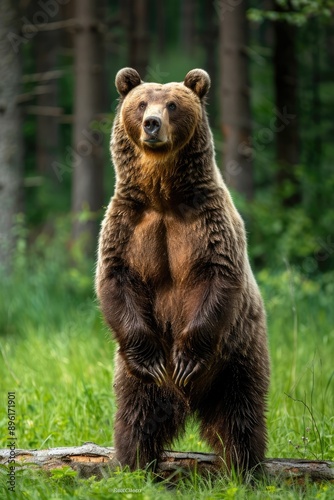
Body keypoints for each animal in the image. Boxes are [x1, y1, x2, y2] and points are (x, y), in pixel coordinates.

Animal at [95, 67, 270, 476]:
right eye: (142, 102)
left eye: (172, 104)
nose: (152, 123)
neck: (162, 195)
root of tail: (189, 399)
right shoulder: (126, 224)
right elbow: (114, 278)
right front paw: (157, 360)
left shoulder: (209, 222)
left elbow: (218, 276)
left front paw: (187, 359)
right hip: (133, 373)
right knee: (137, 412)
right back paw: (133, 463)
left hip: (238, 354)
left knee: (240, 412)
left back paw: (244, 469)